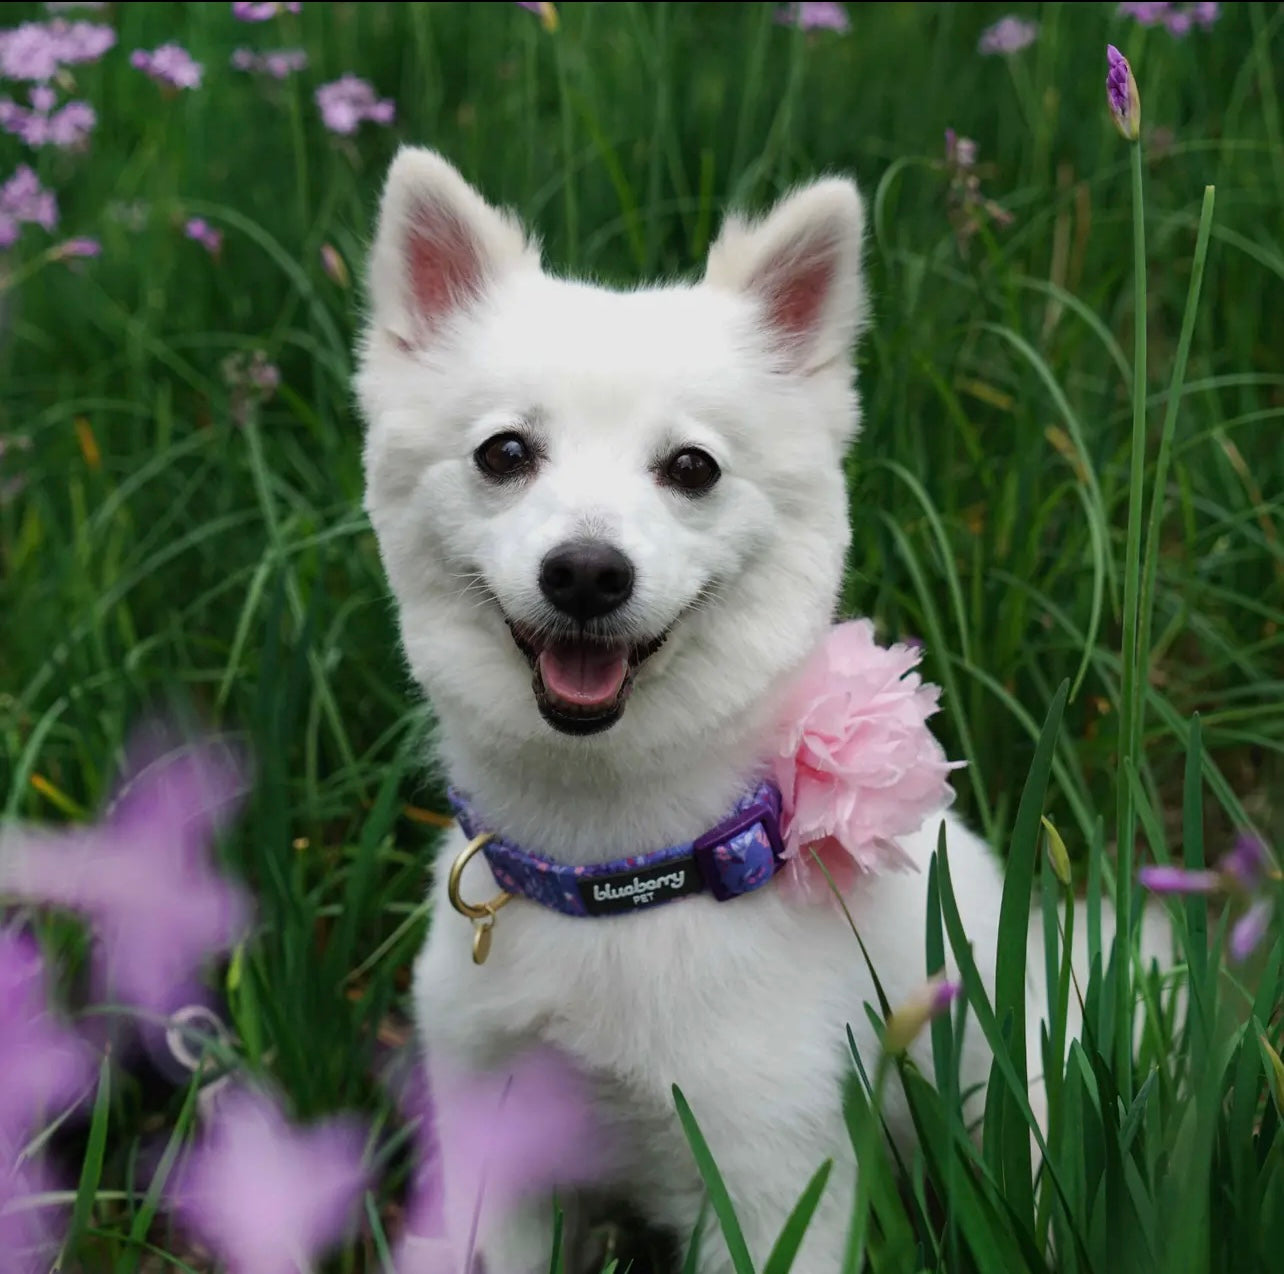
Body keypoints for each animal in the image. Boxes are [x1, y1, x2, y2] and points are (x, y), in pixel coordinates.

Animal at [354, 151, 1093, 1274]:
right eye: (504, 453)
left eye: (691, 468)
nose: (586, 571)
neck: (616, 876)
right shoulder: (496, 1149)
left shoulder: (770, 1179)